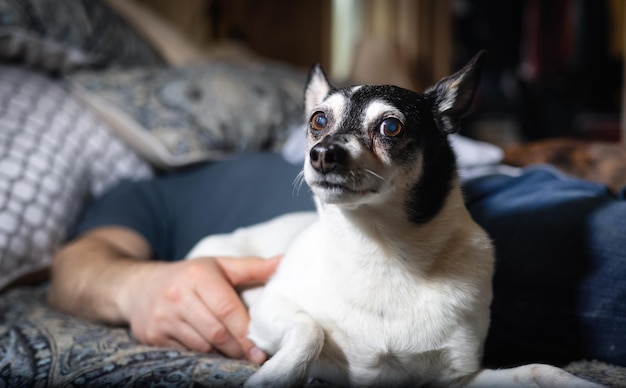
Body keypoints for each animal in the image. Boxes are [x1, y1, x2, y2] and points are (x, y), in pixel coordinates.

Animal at [186, 50, 600, 386]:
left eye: (390, 127)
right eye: (318, 120)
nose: (322, 154)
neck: (381, 250)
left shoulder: (456, 378)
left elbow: (539, 369)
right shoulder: (268, 310)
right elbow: (310, 329)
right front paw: (276, 375)